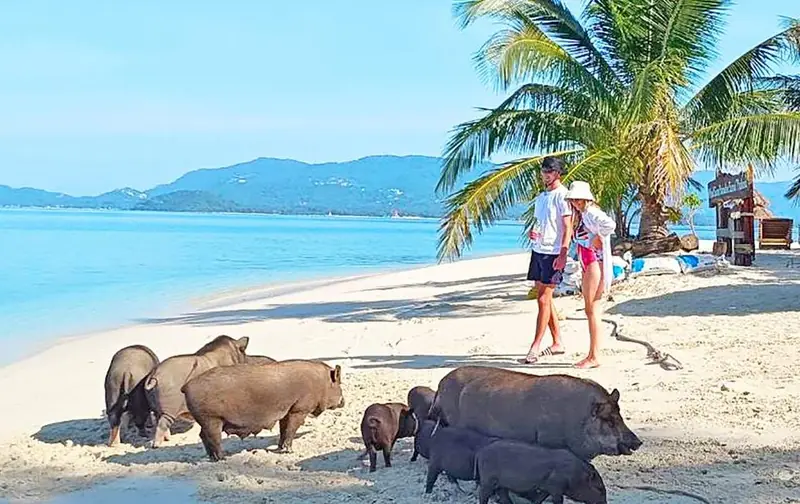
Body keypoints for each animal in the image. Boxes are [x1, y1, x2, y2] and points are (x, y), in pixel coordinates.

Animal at [182, 358, 345, 461]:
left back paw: (213, 458)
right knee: (212, 438)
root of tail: (186, 386)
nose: (343, 401)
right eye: (339, 384)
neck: (321, 383)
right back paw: (223, 458)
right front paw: (289, 451)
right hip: (211, 419)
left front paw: (280, 448)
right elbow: (291, 430)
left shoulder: (286, 410)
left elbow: (284, 430)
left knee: (202, 435)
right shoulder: (299, 409)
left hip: (206, 421)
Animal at [476, 439, 607, 504]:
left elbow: (539, 499)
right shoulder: (556, 488)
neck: (575, 475)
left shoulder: (546, 488)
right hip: (487, 480)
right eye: (599, 488)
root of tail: (481, 452)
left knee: (503, 496)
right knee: (483, 495)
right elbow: (557, 501)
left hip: (501, 484)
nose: (605, 503)